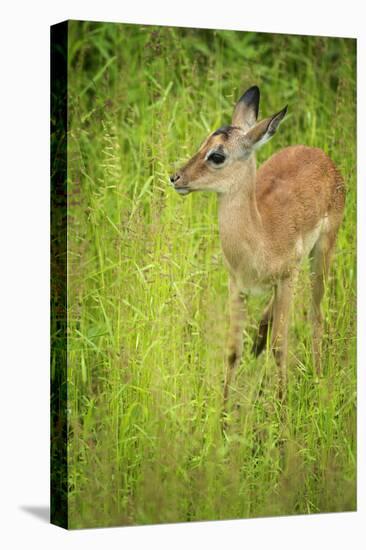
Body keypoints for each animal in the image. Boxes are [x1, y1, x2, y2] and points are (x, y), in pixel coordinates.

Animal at [170, 87, 344, 406]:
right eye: (203, 144)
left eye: (217, 155)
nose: (176, 178)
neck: (260, 237)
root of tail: (321, 155)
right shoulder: (237, 286)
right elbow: (232, 350)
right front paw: (223, 411)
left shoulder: (287, 279)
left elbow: (280, 347)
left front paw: (283, 407)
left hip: (321, 255)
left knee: (316, 315)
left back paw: (318, 378)